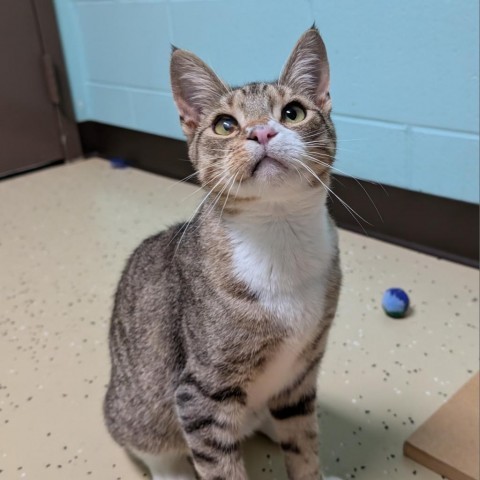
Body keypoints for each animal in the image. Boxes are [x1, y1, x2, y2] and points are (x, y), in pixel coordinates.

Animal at [104, 27, 344, 480]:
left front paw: (313, 469)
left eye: (293, 113)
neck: (278, 235)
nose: (262, 132)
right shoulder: (200, 393)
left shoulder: (301, 375)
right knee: (156, 450)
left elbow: (303, 445)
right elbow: (221, 466)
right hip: (139, 410)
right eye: (225, 124)